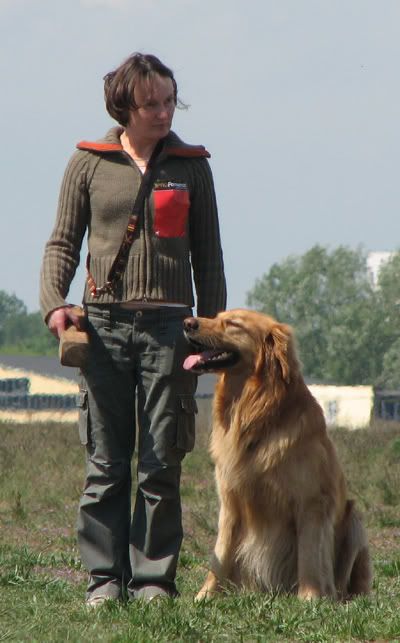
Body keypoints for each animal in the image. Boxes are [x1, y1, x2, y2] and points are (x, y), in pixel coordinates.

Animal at [183, 309, 372, 601]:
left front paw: (310, 597)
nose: (188, 322)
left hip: (354, 520)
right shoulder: (230, 502)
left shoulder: (312, 502)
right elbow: (220, 554)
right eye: (216, 316)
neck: (255, 411)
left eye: (233, 324)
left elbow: (309, 555)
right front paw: (205, 595)